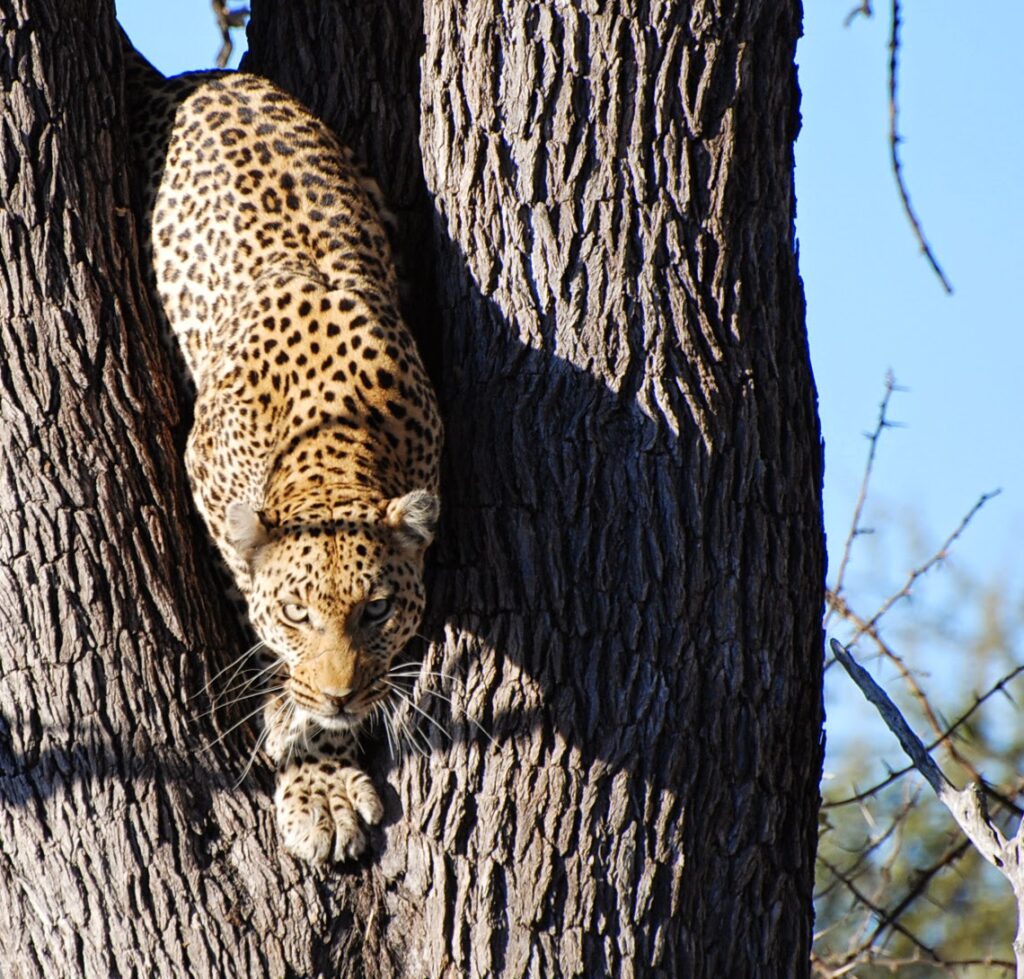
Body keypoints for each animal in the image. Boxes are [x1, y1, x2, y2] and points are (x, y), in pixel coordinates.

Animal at [123, 41, 442, 864]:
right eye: (299, 612)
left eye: (377, 609)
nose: (340, 693)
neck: (333, 441)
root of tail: (204, 78)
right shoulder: (212, 500)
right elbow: (258, 624)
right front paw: (317, 775)